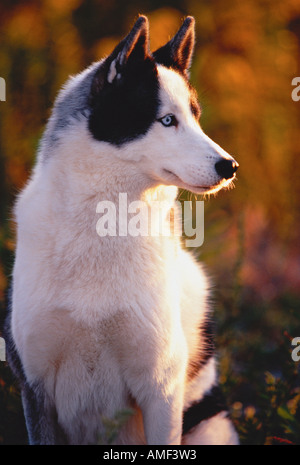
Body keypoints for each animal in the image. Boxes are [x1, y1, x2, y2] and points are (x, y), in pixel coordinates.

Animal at [4, 13, 239, 442]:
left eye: (195, 117)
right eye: (167, 120)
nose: (229, 167)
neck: (104, 223)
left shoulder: (160, 388)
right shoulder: (35, 390)